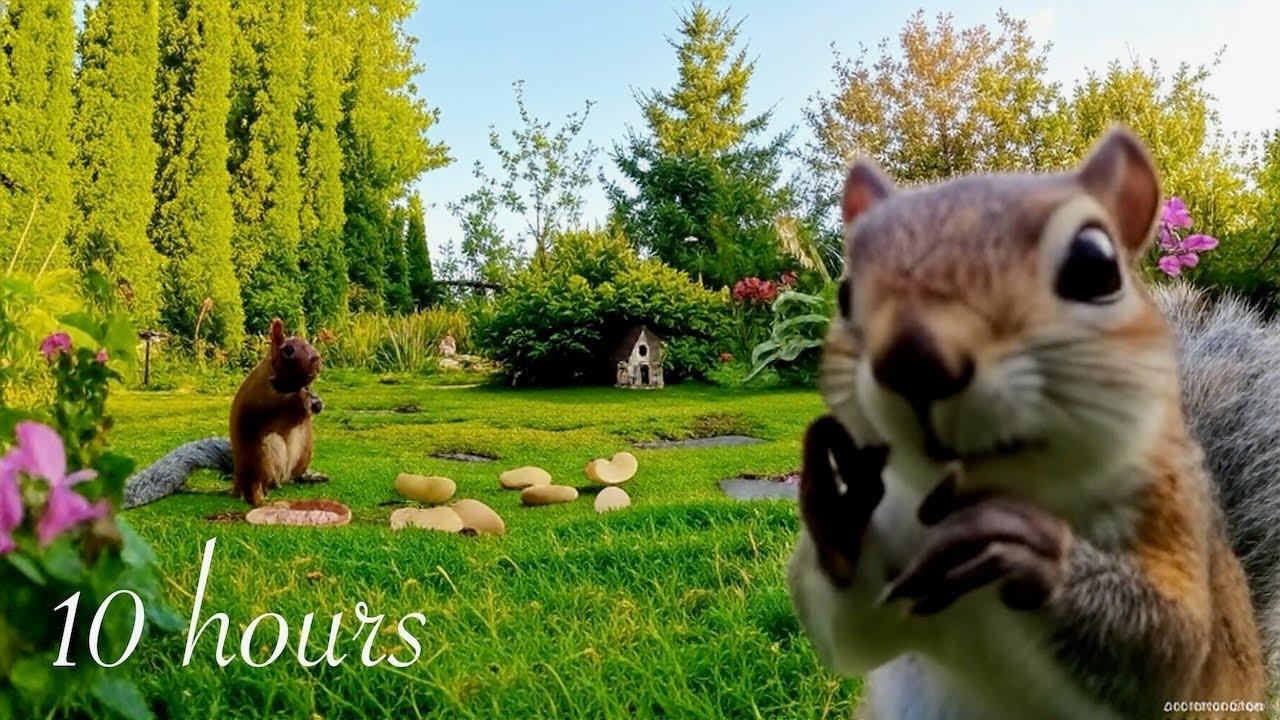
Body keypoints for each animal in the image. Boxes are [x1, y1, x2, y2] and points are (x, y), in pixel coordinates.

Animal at [121, 318, 328, 509]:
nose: (317, 359)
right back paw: (264, 501)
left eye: (308, 343)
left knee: (293, 476)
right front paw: (305, 400)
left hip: (304, 448)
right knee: (255, 490)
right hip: (263, 455)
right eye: (288, 351)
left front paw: (316, 400)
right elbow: (281, 404)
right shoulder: (263, 395)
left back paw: (310, 476)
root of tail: (239, 481)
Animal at [786, 125, 1276, 720]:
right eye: (845, 292)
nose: (912, 358)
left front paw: (1029, 548)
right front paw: (840, 503)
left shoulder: (1173, 518)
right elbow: (852, 634)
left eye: (1096, 266)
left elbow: (1172, 655)